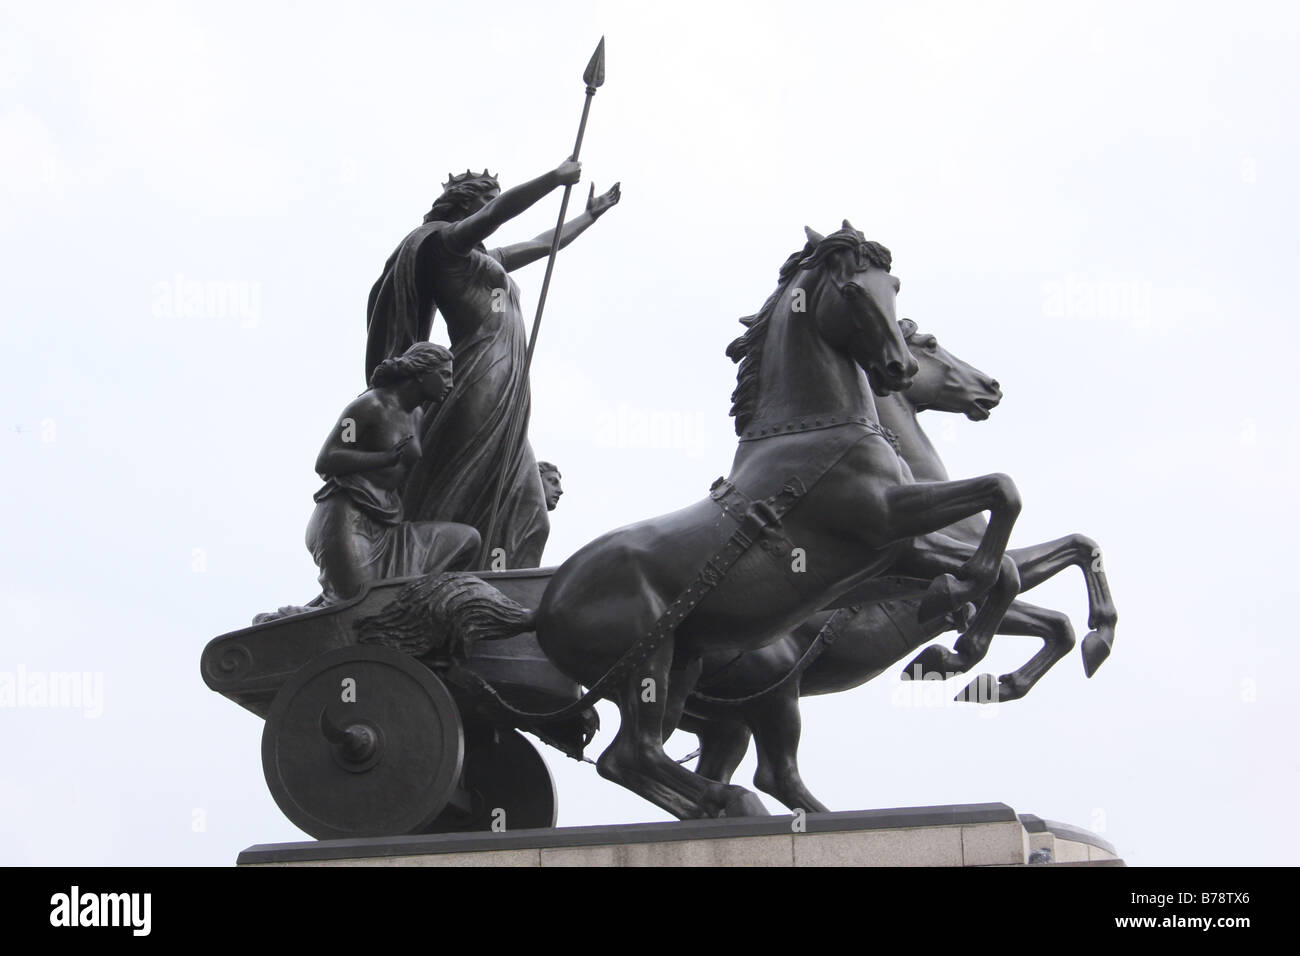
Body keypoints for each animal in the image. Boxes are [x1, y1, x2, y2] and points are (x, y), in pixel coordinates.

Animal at [681, 317, 1118, 811]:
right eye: (930, 344)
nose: (991, 387)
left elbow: (1062, 590)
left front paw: (1023, 672)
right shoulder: (932, 590)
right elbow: (1024, 581)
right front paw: (951, 660)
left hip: (724, 720)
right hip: (771, 696)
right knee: (772, 775)